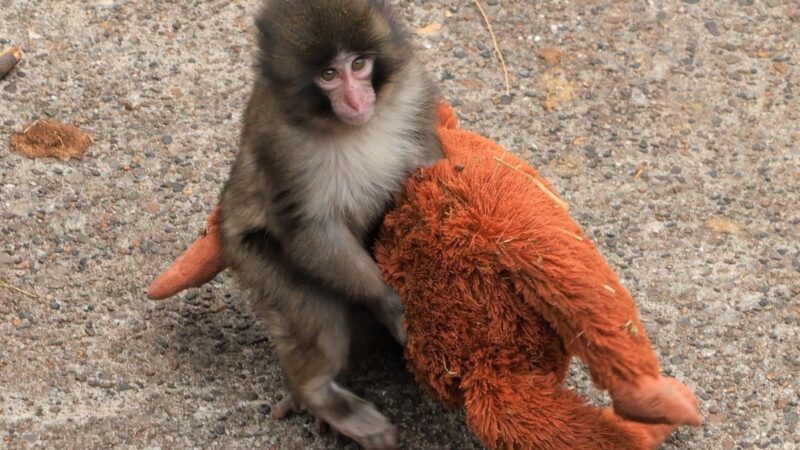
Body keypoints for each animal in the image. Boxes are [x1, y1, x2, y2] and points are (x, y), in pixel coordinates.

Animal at [218, 1, 442, 448]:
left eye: (358, 64)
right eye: (328, 76)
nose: (356, 99)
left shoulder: (412, 93)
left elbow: (430, 164)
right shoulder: (280, 143)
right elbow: (310, 231)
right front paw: (390, 302)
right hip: (250, 256)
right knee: (318, 310)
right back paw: (317, 394)